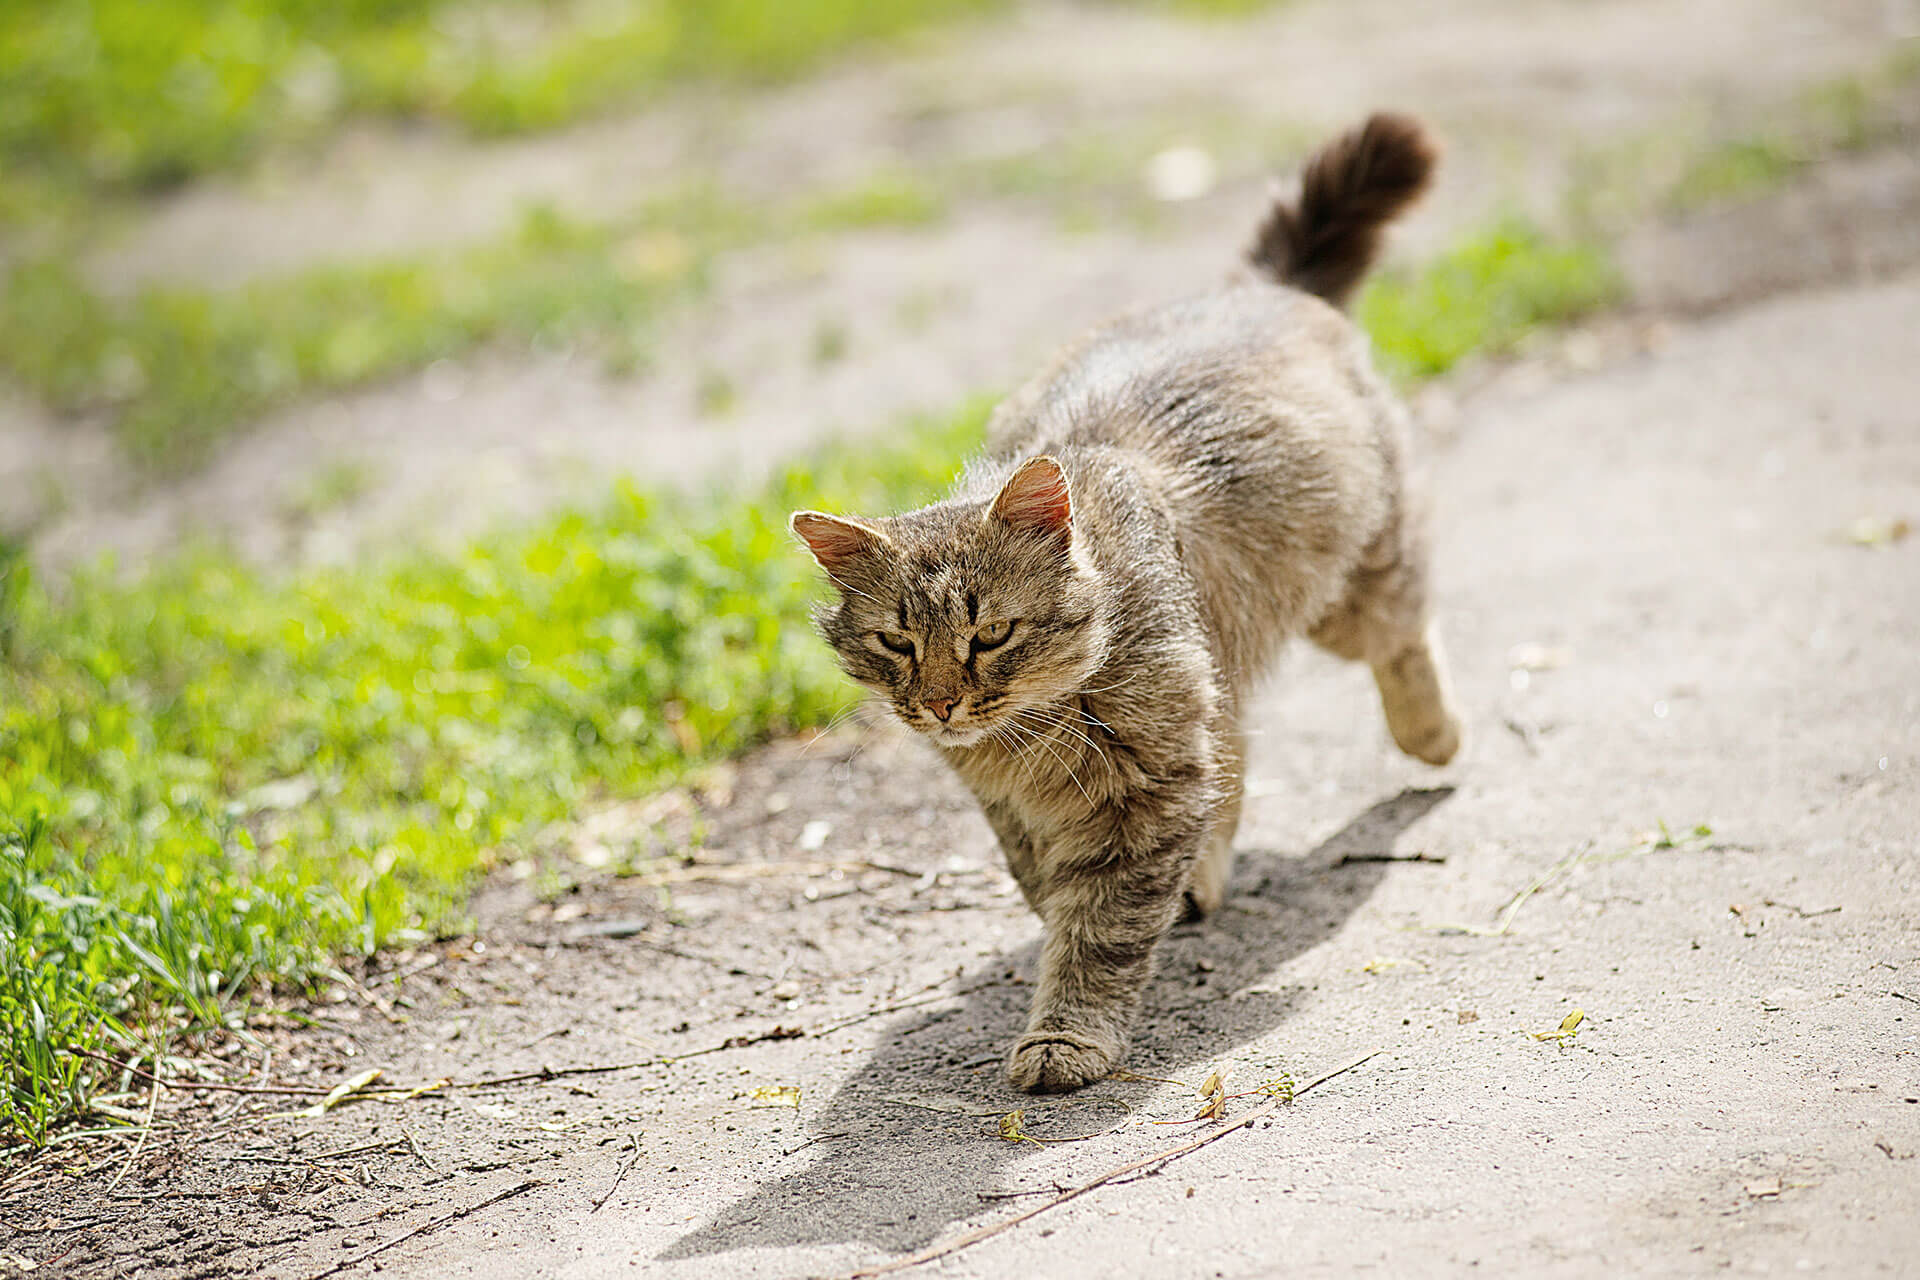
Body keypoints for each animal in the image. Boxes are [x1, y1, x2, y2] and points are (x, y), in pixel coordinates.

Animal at [787, 115, 1459, 1090]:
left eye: (991, 634)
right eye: (897, 644)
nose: (942, 704)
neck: (1030, 733)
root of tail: (1255, 290)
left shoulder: (1146, 789)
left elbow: (1098, 931)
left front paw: (1066, 1038)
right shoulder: (1017, 799)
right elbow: (1047, 883)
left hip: (1351, 596)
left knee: (1406, 639)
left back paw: (1432, 736)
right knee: (1242, 752)